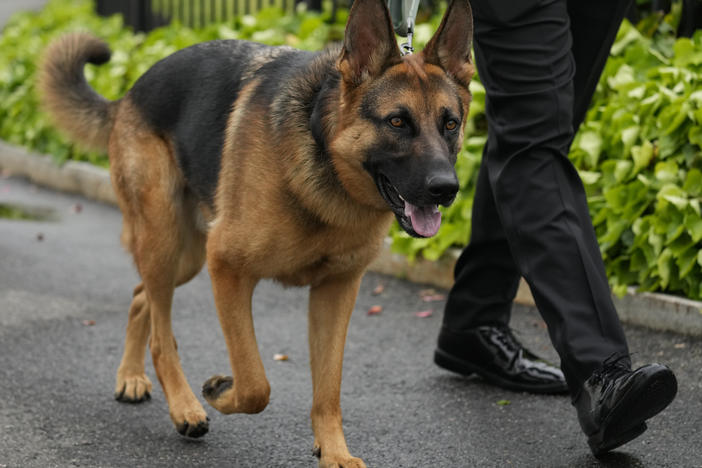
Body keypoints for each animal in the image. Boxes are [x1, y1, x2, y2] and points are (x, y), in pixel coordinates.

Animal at [41, 0, 476, 462]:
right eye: (397, 122)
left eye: (450, 124)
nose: (447, 189)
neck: (324, 154)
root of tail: (130, 92)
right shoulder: (228, 269)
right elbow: (254, 384)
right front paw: (220, 392)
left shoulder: (336, 292)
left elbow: (328, 389)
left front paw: (334, 454)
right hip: (168, 243)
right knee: (161, 334)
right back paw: (183, 407)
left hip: (186, 258)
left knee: (141, 296)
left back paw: (130, 376)